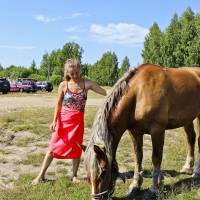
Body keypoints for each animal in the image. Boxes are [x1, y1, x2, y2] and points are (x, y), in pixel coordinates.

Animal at [83, 64, 200, 200]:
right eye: (87, 175)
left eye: (103, 171)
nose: (96, 198)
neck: (138, 93)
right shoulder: (135, 132)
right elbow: (138, 157)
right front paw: (135, 185)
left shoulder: (157, 130)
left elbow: (156, 158)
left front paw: (154, 188)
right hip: (187, 118)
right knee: (191, 138)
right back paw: (187, 167)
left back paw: (196, 172)